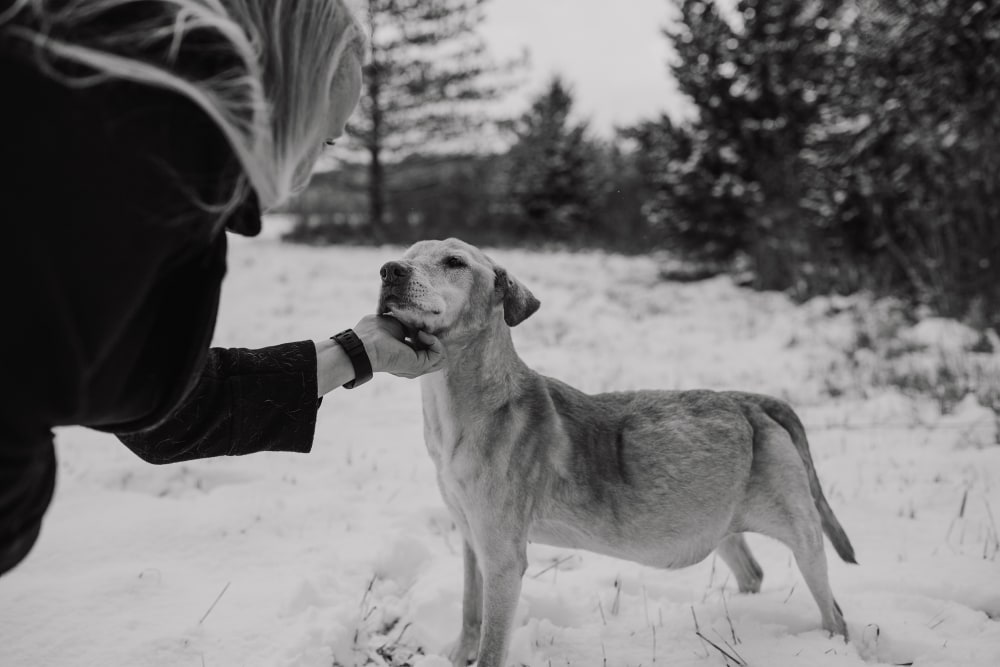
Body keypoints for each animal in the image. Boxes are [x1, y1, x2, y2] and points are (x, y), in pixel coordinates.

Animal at [378, 237, 856, 664]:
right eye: (407, 255)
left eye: (454, 262)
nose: (389, 271)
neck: (460, 403)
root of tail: (750, 402)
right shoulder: (470, 538)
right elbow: (468, 610)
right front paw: (459, 652)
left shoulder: (502, 557)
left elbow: (492, 643)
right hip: (718, 519)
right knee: (752, 572)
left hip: (802, 534)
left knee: (835, 611)